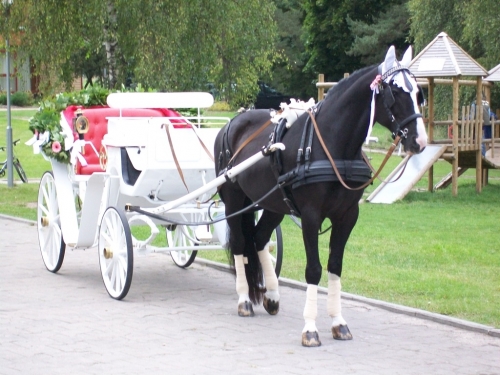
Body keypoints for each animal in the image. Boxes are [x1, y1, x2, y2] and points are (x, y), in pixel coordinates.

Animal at [213, 47, 428, 350]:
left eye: (419, 94)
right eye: (394, 94)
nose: (420, 142)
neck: (332, 145)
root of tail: (232, 123)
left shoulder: (347, 216)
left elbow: (335, 266)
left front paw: (338, 322)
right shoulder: (311, 215)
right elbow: (313, 270)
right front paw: (310, 328)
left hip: (272, 204)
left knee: (259, 238)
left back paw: (271, 296)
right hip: (235, 200)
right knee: (242, 243)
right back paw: (244, 299)